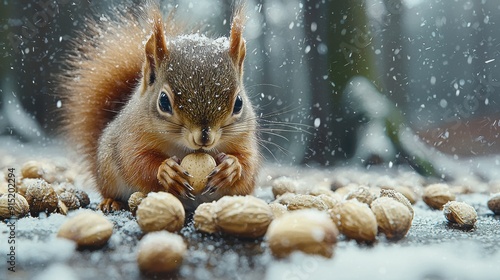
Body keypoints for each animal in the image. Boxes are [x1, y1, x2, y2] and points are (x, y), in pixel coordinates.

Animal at [60, 0, 260, 212]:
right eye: (163, 101)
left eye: (238, 104)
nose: (204, 138)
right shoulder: (132, 137)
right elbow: (136, 161)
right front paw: (166, 172)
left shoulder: (244, 138)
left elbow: (248, 165)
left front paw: (231, 167)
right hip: (107, 168)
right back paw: (112, 201)